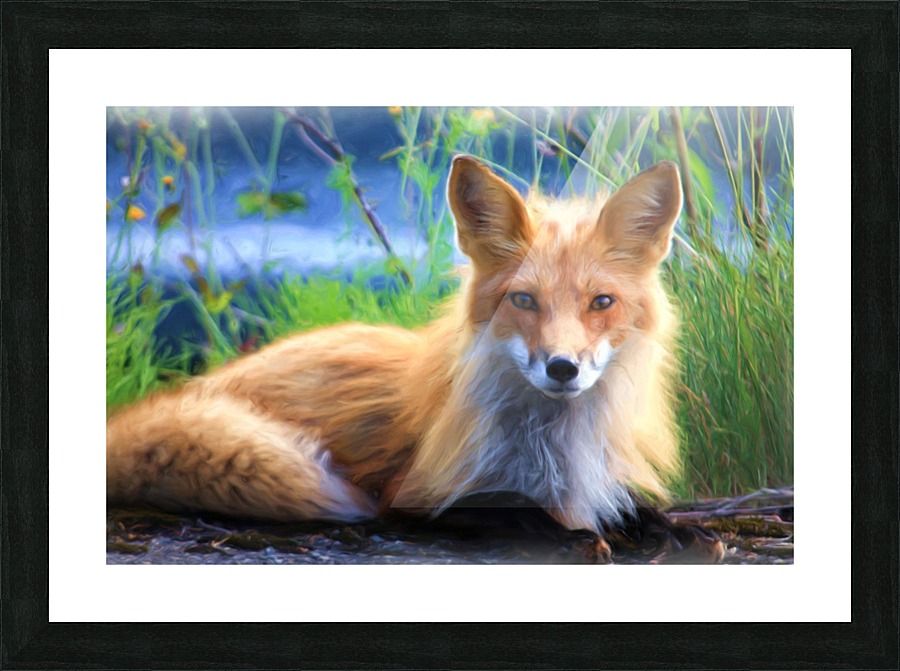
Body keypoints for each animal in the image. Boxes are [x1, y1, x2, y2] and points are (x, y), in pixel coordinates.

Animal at [107, 156, 722, 562]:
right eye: (524, 300)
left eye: (602, 303)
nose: (562, 368)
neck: (555, 445)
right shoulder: (415, 495)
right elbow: (510, 510)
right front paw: (573, 537)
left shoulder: (601, 476)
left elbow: (631, 505)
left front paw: (673, 530)